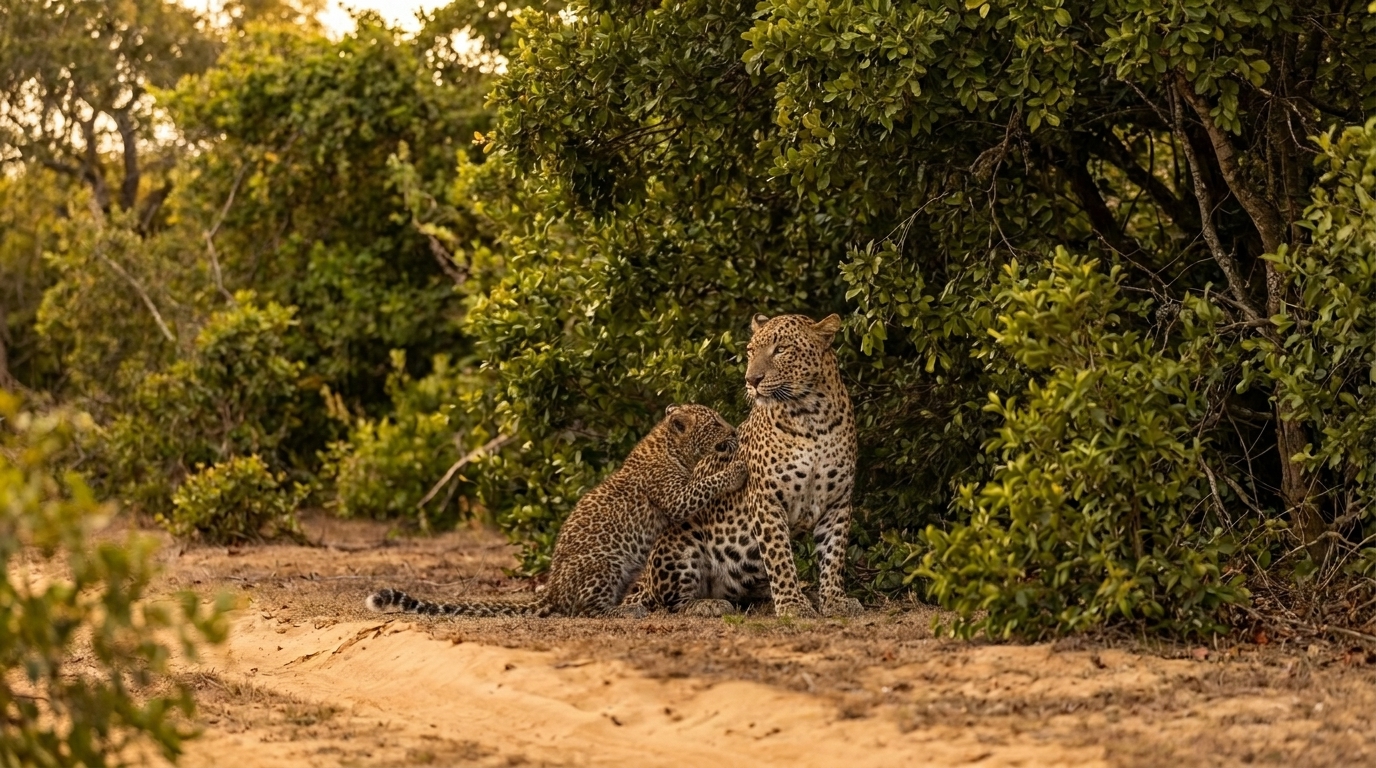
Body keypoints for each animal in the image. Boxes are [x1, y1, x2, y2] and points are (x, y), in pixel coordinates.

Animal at [366, 403, 746, 619]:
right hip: (604, 563)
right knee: (584, 610)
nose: (733, 430)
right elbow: (702, 487)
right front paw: (735, 471)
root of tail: (551, 590)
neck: (671, 446)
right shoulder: (673, 495)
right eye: (715, 423)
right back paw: (626, 611)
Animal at [627, 313, 861, 619]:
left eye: (781, 350)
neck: (812, 417)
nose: (752, 379)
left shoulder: (838, 502)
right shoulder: (766, 499)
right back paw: (709, 604)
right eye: (751, 351)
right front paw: (792, 604)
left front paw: (834, 600)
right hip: (681, 540)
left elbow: (833, 556)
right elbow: (779, 557)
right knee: (669, 603)